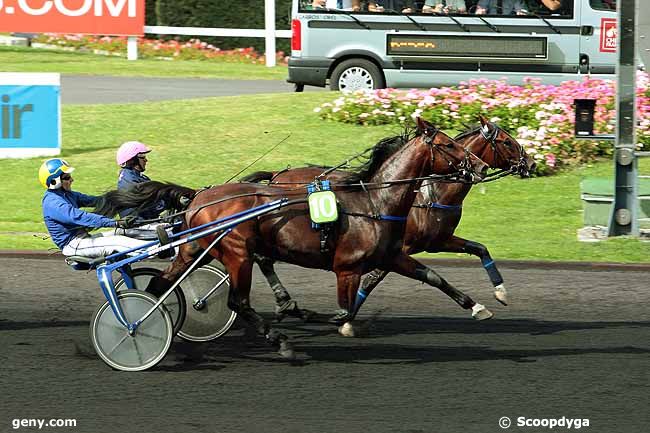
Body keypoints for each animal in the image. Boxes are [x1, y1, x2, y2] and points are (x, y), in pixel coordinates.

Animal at [96, 117, 486, 358]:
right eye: (449, 144)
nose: (479, 167)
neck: (375, 202)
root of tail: (199, 197)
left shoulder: (391, 255)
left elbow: (432, 276)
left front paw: (476, 305)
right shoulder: (347, 267)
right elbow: (343, 311)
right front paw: (321, 319)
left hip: (194, 248)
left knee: (160, 285)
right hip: (237, 252)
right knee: (238, 301)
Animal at [240, 114, 536, 330]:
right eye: (507, 142)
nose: (531, 164)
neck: (431, 193)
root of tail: (276, 175)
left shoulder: (437, 240)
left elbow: (478, 249)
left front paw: (496, 295)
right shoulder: (400, 248)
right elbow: (371, 281)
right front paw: (346, 319)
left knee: (263, 259)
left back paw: (285, 304)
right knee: (263, 260)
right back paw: (285, 304)